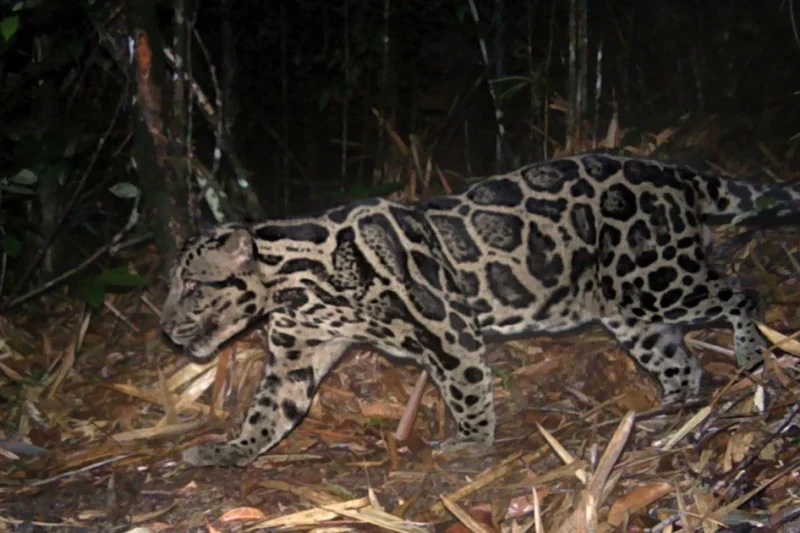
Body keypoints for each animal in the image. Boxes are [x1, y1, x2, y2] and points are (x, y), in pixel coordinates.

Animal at [160, 153, 800, 467]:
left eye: (191, 285)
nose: (165, 326)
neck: (298, 283)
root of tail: (673, 171)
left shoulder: (447, 328)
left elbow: (466, 389)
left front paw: (470, 443)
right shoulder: (296, 356)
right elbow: (268, 412)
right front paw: (230, 450)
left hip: (657, 278)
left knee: (740, 291)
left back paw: (750, 355)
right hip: (626, 305)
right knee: (679, 360)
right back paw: (671, 415)